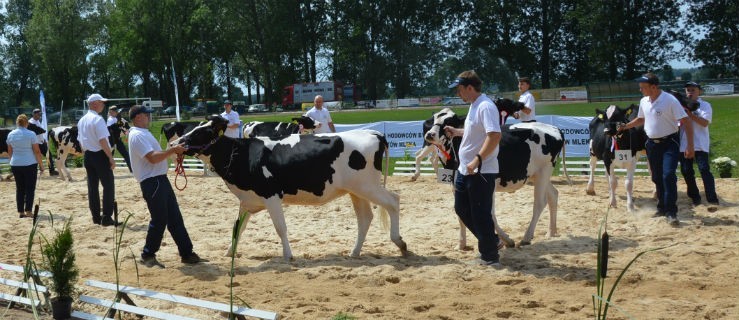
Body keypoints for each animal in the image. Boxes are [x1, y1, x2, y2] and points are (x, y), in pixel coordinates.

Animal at [175, 116, 410, 262]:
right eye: (191, 129)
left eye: (203, 132)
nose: (178, 142)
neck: (242, 155)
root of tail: (373, 133)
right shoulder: (247, 200)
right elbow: (237, 228)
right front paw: (230, 253)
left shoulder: (271, 196)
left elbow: (281, 228)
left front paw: (288, 255)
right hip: (357, 191)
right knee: (365, 218)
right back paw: (354, 252)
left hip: (369, 186)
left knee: (393, 201)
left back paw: (400, 243)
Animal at [422, 107, 568, 248]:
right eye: (433, 119)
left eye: (449, 122)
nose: (430, 134)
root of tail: (554, 128)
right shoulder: (456, 185)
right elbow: (460, 213)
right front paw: (461, 244)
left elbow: (489, 214)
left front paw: (506, 240)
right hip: (536, 174)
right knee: (553, 195)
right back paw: (551, 231)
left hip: (544, 171)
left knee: (539, 202)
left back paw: (527, 237)